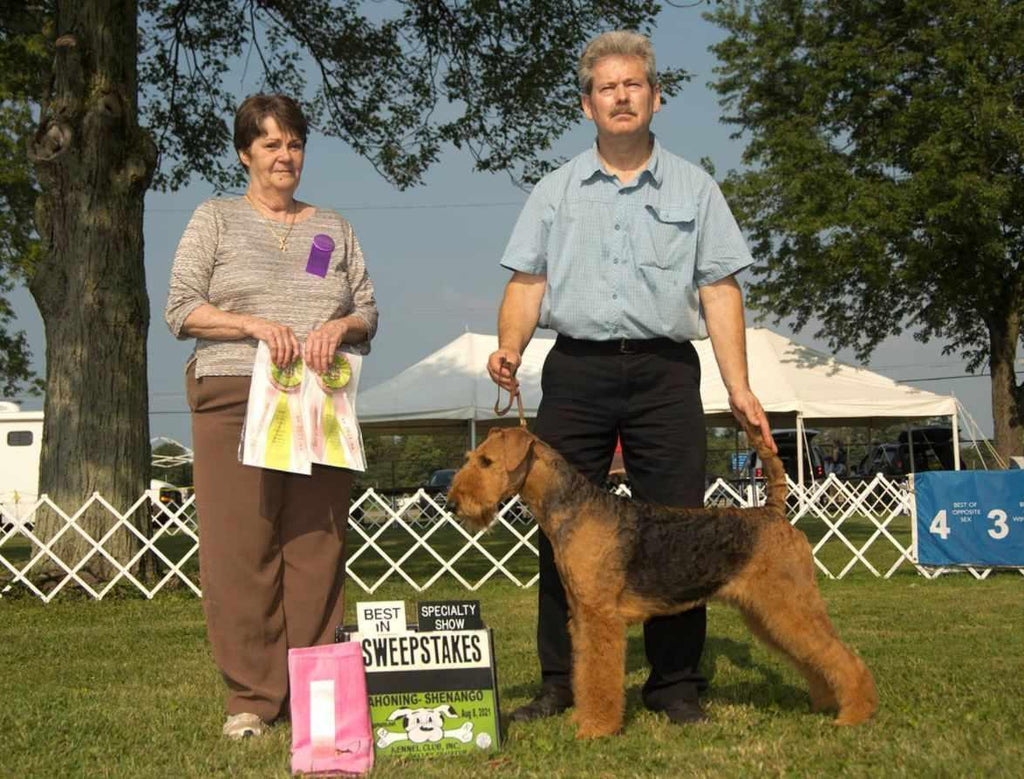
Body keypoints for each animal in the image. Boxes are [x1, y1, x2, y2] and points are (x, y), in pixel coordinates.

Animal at [446, 423, 877, 738]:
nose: (453, 503)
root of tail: (773, 512)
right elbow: (584, 672)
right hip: (768, 612)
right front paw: (582, 718)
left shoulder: (602, 618)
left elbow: (599, 677)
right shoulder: (583, 617)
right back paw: (826, 703)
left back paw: (854, 714)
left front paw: (597, 729)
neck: (576, 509)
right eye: (474, 459)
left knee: (841, 656)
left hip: (788, 603)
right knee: (816, 657)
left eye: (486, 461)